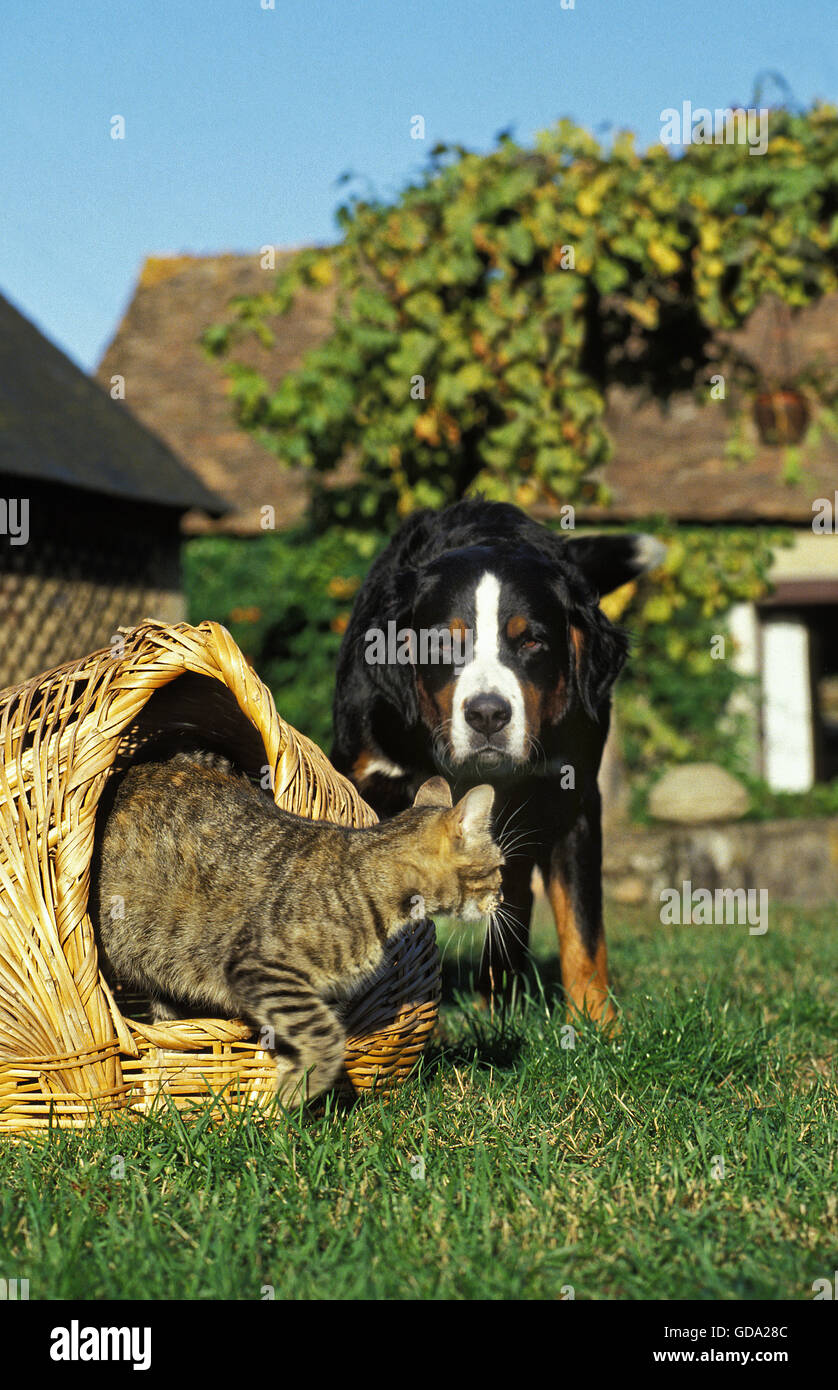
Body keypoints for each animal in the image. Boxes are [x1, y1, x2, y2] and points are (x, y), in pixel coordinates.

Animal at [91, 756, 500, 1100]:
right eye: (499, 868)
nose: (500, 899)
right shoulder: (260, 968)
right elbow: (326, 1036)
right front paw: (297, 1091)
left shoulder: (319, 996)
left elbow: (306, 1032)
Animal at [330, 500, 664, 1023]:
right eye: (442, 643)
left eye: (532, 642)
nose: (487, 713)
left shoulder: (572, 804)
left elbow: (584, 931)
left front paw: (598, 1027)